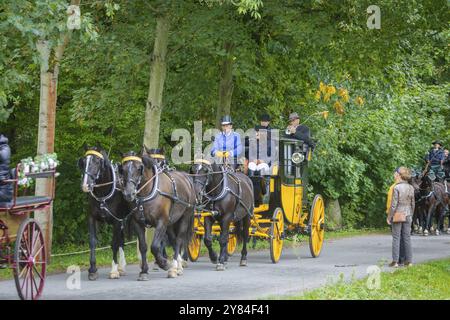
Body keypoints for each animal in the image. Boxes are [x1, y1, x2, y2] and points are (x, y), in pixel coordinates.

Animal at [76, 145, 130, 280]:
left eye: (96, 161)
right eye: (83, 161)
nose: (85, 185)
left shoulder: (116, 221)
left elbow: (114, 243)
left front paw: (114, 270)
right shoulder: (92, 218)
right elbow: (92, 242)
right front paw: (92, 269)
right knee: (122, 241)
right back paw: (122, 267)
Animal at [119, 152, 195, 280]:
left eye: (139, 168)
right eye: (122, 169)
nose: (129, 194)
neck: (148, 193)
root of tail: (186, 178)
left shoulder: (161, 222)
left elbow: (154, 246)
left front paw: (164, 263)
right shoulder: (138, 223)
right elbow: (143, 247)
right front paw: (144, 271)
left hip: (185, 217)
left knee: (179, 240)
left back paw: (174, 268)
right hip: (171, 223)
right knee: (173, 240)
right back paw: (178, 266)